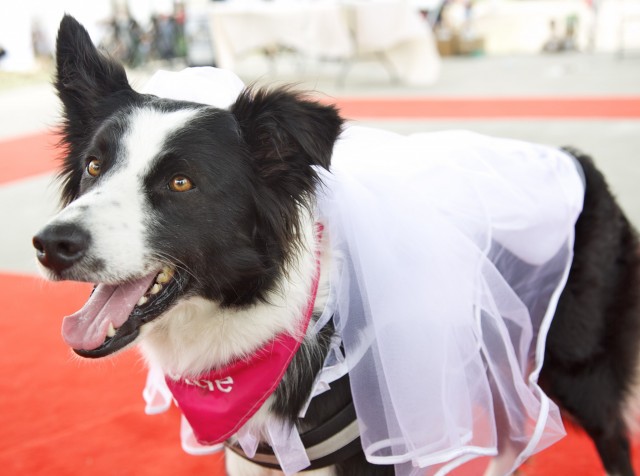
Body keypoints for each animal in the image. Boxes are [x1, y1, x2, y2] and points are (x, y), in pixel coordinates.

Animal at [33, 14, 640, 476]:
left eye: (182, 183)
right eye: (94, 166)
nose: (51, 244)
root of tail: (577, 160)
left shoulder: (380, 441)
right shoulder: (256, 453)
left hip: (575, 363)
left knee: (606, 435)